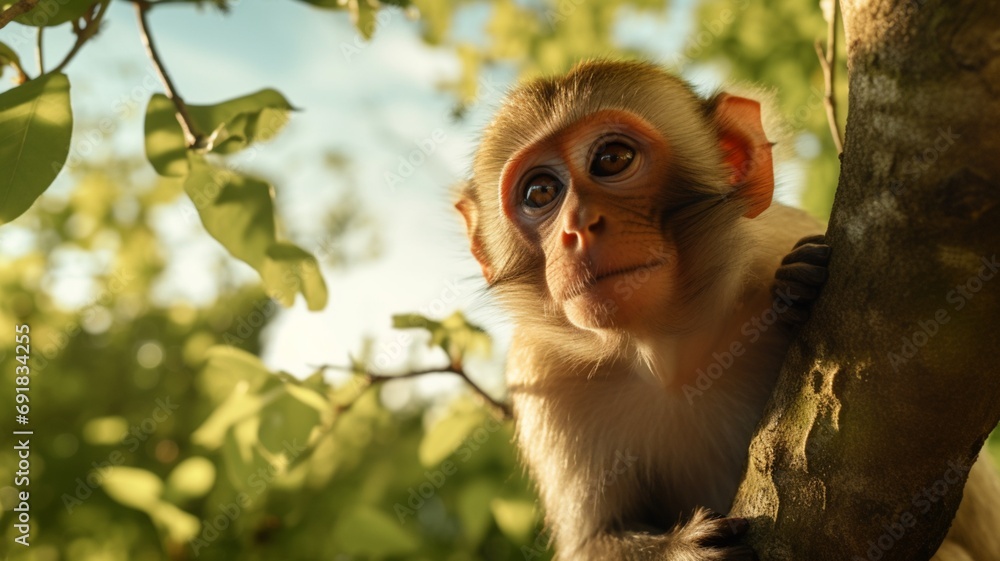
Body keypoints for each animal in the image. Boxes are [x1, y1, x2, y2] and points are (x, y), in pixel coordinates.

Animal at [456, 60, 1000, 561]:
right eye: (541, 192)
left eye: (612, 159)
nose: (576, 227)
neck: (672, 354)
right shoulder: (541, 375)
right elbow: (594, 539)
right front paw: (684, 552)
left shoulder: (778, 236)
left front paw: (798, 285)